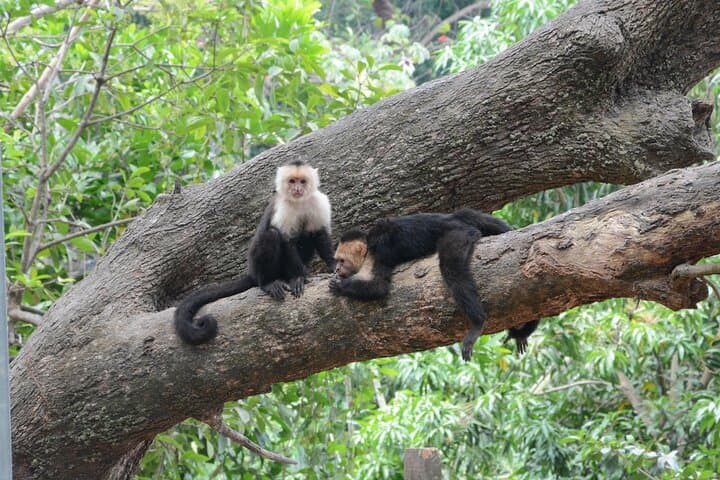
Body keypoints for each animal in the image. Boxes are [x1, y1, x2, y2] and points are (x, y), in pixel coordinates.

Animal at [175, 160, 335, 345]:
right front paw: (299, 278)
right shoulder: (283, 208)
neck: (298, 202)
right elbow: (286, 241)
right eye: (292, 181)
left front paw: (334, 265)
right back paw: (269, 283)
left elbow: (319, 234)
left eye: (302, 181)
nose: (297, 189)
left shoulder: (318, 201)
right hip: (257, 266)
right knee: (271, 235)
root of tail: (251, 272)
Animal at [329, 208, 539, 360]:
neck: (367, 251)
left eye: (341, 260)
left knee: (452, 268)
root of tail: (455, 221)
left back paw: (477, 323)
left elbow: (379, 287)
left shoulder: (377, 254)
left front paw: (340, 286)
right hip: (466, 220)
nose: (337, 270)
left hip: (457, 234)